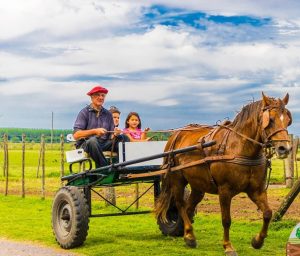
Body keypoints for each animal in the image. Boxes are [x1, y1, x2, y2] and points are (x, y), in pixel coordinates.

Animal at [156, 93, 292, 255]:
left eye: (288, 120)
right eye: (270, 120)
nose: (285, 148)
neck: (240, 148)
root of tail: (176, 134)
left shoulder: (256, 190)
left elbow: (267, 213)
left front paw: (257, 241)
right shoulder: (225, 190)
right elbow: (226, 220)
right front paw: (228, 246)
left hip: (198, 186)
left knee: (189, 207)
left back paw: (189, 235)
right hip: (178, 180)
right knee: (180, 204)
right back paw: (188, 234)